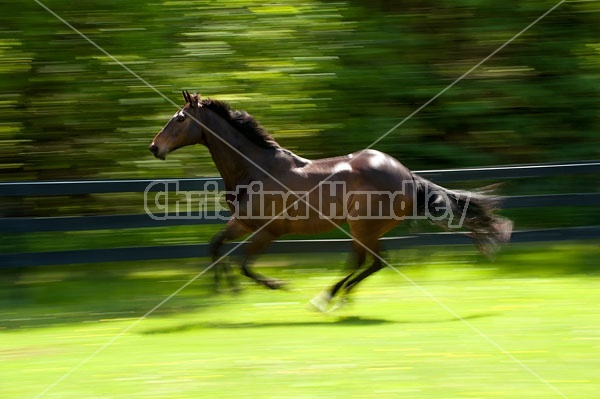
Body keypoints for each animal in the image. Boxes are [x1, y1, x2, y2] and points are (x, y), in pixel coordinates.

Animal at [150, 91, 510, 312]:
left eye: (179, 118)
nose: (155, 147)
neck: (255, 169)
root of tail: (408, 175)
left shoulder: (269, 231)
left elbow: (245, 264)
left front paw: (277, 285)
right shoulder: (242, 223)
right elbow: (216, 246)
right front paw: (226, 291)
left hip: (363, 227)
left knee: (366, 262)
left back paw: (326, 298)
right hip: (368, 229)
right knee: (371, 262)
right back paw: (339, 297)